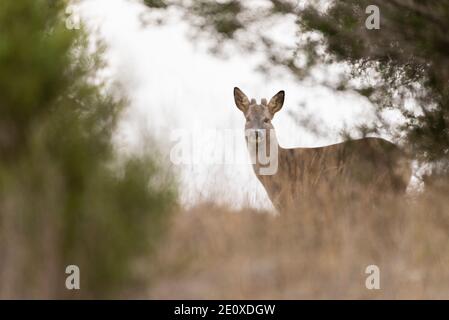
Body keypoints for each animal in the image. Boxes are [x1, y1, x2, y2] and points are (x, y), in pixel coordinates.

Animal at [233, 87, 412, 212]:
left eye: (267, 120)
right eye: (248, 119)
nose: (257, 133)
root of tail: (406, 159)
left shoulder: (296, 199)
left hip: (382, 189)